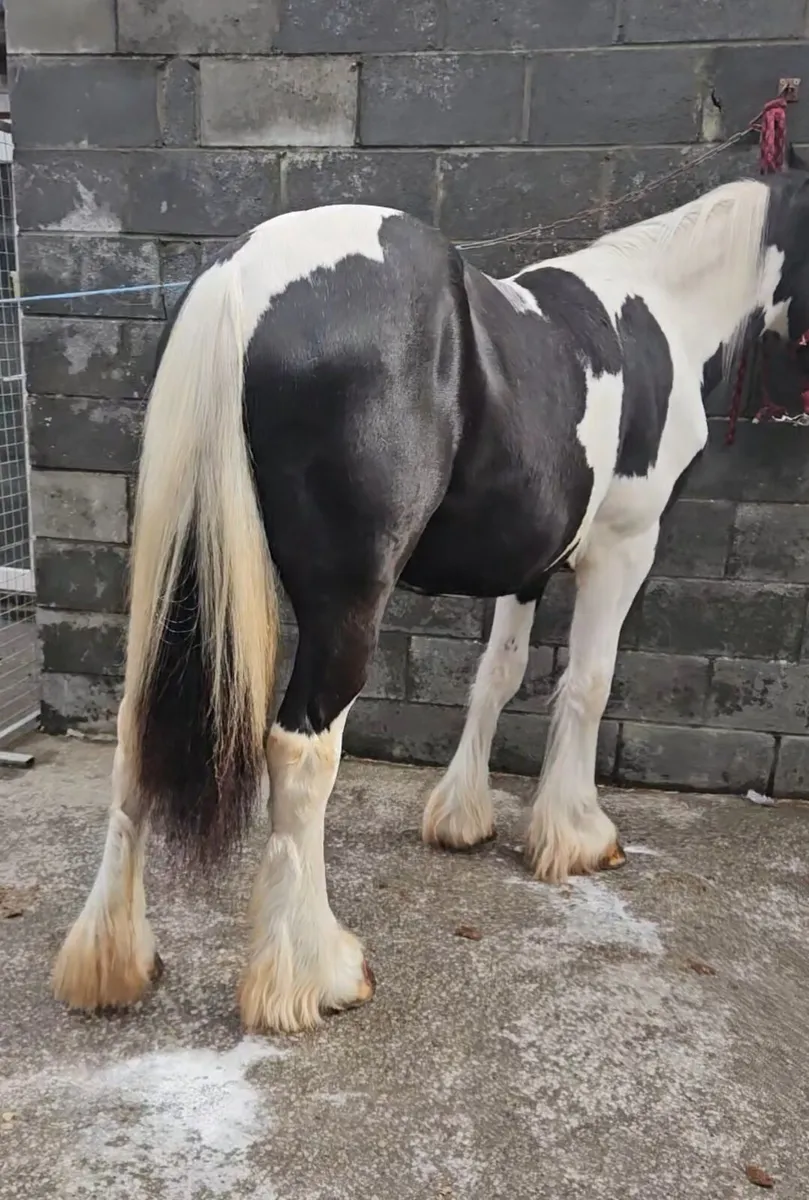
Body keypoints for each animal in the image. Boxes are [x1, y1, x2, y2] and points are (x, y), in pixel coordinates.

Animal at [51, 170, 809, 1035]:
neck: (658, 308)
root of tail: (242, 276)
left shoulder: (525, 567)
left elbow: (496, 676)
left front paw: (461, 816)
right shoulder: (622, 546)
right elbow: (588, 684)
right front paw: (577, 834)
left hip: (181, 575)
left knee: (133, 732)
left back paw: (112, 963)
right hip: (347, 604)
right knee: (302, 753)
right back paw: (314, 976)